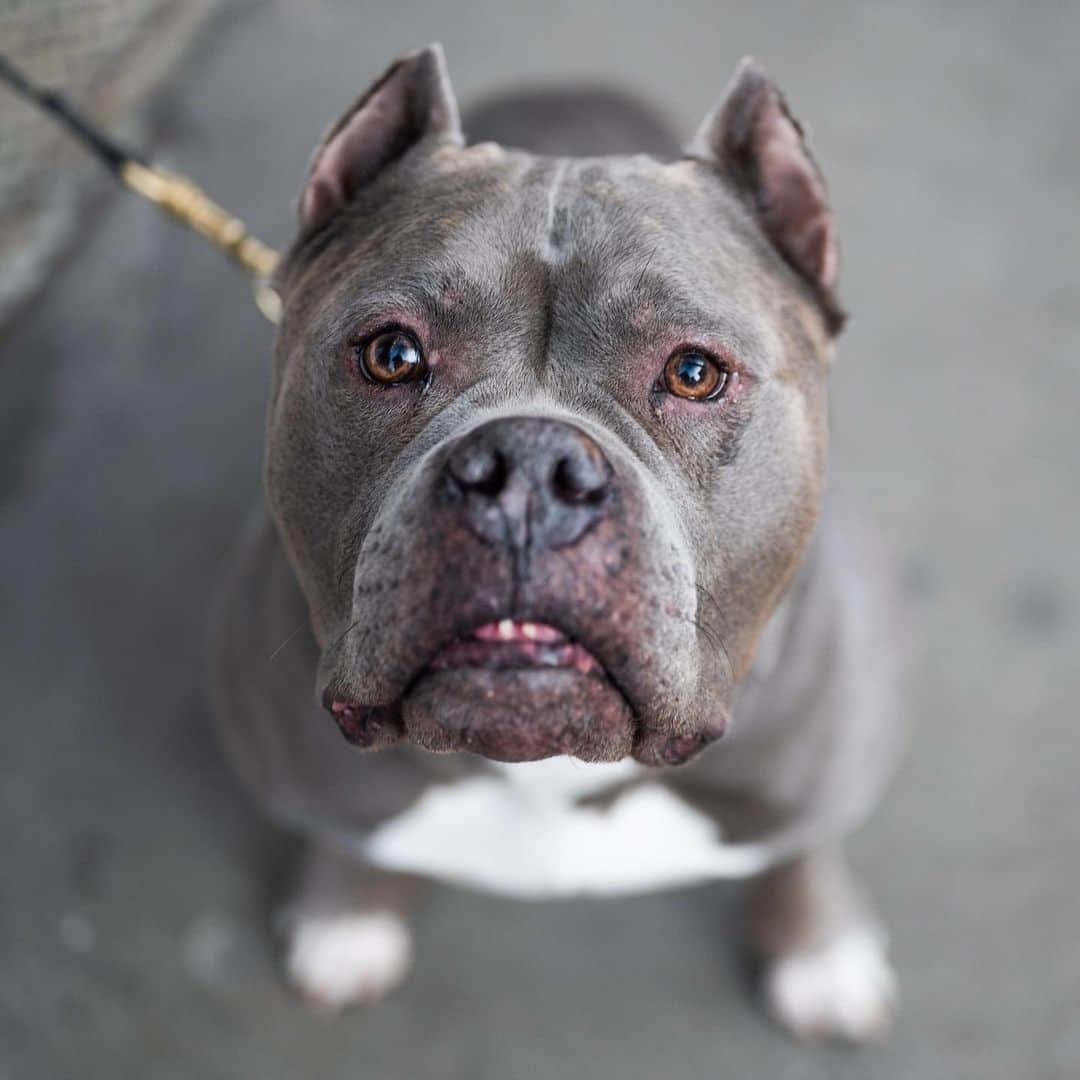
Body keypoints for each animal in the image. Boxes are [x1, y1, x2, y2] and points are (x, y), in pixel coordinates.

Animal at [210, 46, 902, 1041]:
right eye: (391, 354)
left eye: (695, 372)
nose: (529, 470)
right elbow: (352, 835)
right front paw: (348, 913)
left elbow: (798, 851)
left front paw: (818, 948)